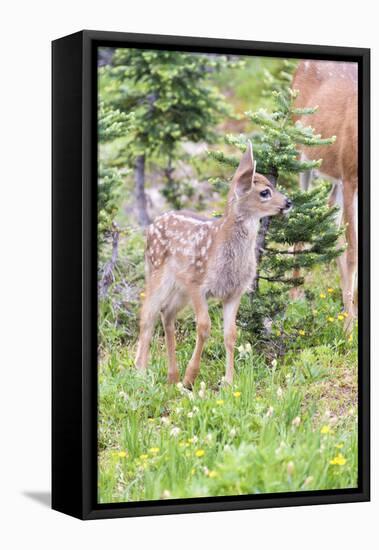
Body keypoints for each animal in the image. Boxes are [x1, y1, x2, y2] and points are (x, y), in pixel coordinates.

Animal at [135, 144, 292, 390]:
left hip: (179, 290)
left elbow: (231, 334)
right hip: (157, 272)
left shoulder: (234, 292)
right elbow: (204, 327)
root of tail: (152, 225)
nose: (288, 202)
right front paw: (191, 377)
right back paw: (141, 372)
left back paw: (172, 376)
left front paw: (228, 381)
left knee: (167, 313)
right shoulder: (197, 283)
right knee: (147, 315)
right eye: (265, 192)